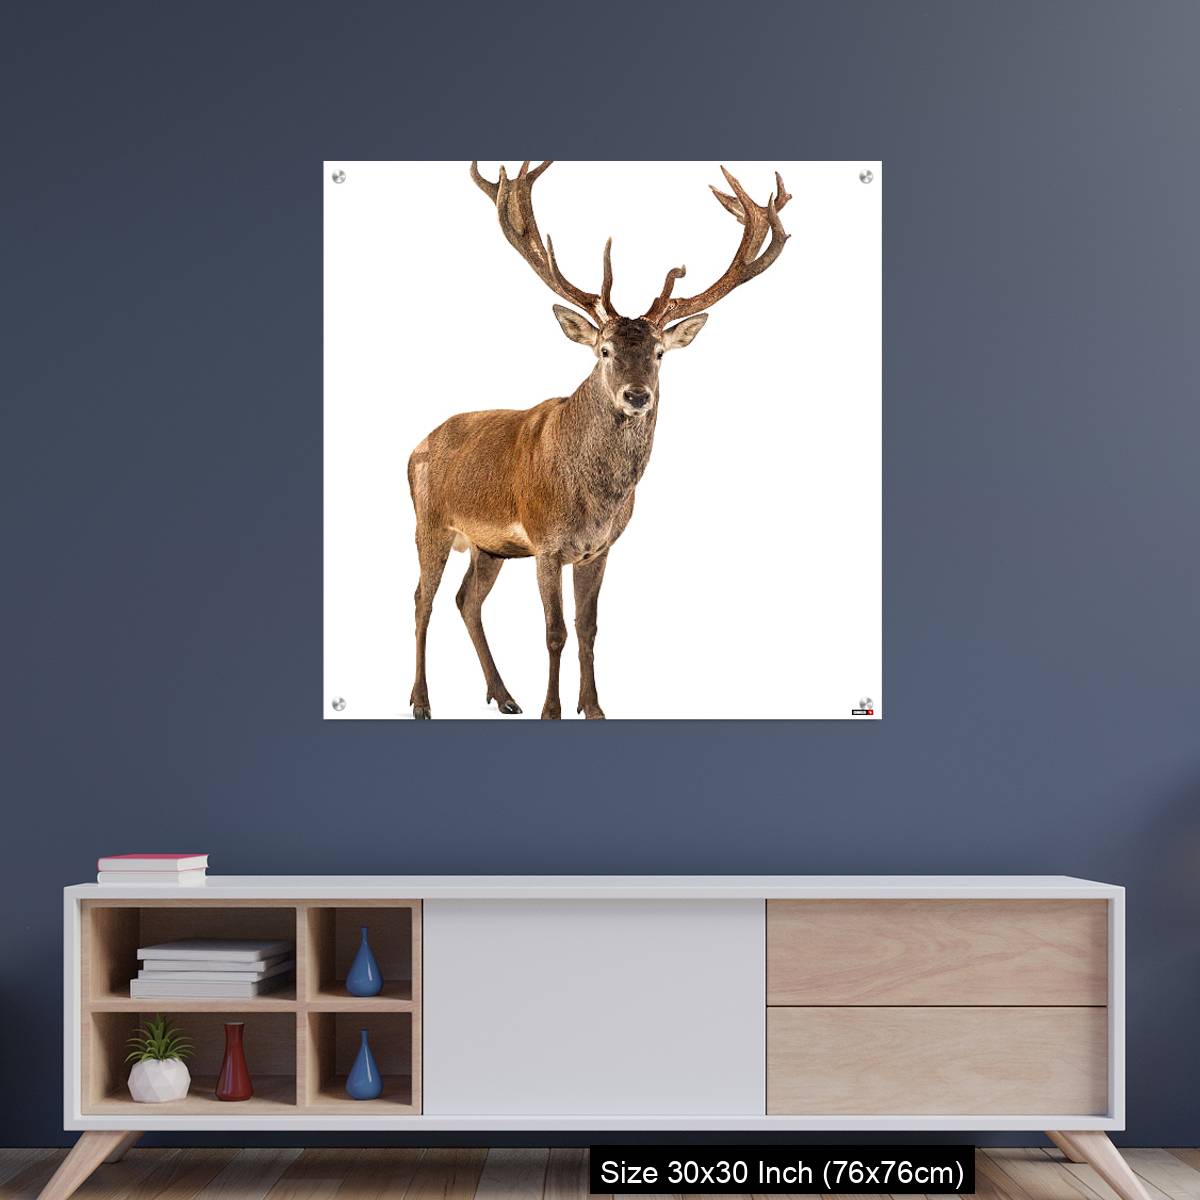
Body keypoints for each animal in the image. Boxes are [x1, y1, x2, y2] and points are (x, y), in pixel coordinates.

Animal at [407, 160, 790, 719]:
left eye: (659, 353)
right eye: (604, 350)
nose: (637, 395)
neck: (594, 499)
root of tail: (415, 447)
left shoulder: (599, 549)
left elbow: (588, 629)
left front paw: (594, 708)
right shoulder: (545, 542)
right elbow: (554, 631)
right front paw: (551, 710)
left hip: (488, 545)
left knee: (466, 601)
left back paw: (504, 696)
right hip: (429, 523)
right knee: (423, 599)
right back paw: (421, 701)